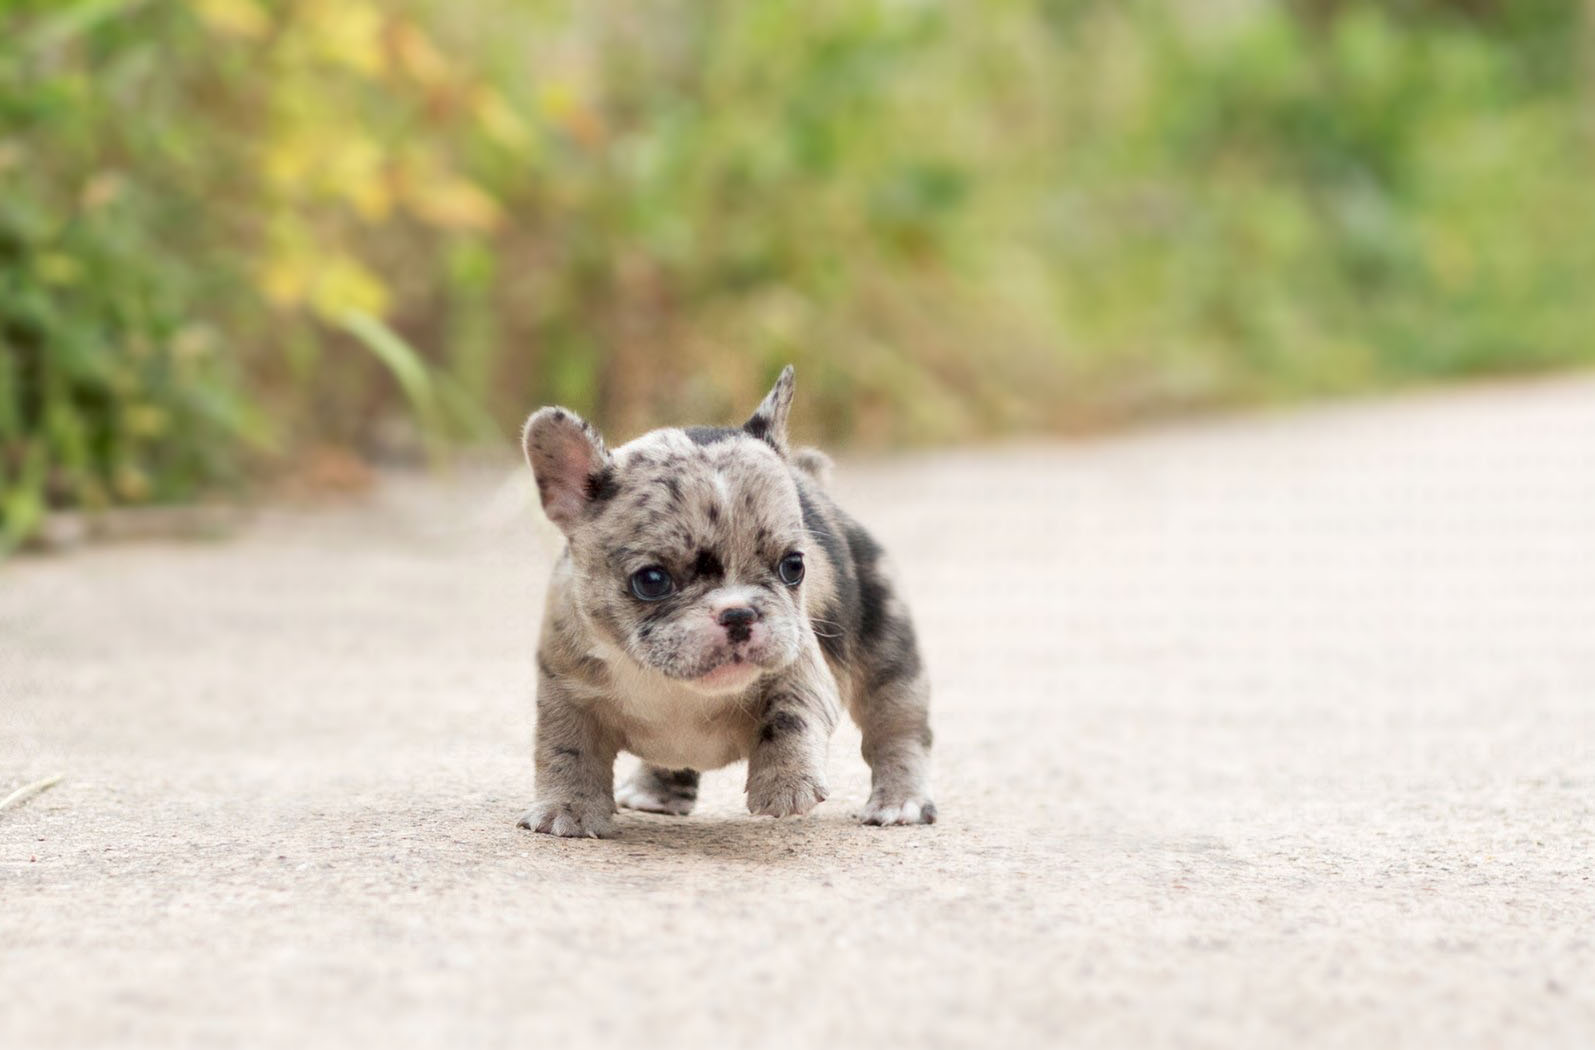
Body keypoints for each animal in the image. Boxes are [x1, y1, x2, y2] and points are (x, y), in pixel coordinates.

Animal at [516, 365, 931, 836]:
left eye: (794, 566)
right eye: (652, 581)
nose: (738, 613)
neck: (671, 686)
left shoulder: (802, 666)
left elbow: (789, 713)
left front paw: (786, 784)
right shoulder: (566, 690)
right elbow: (567, 750)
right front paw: (566, 809)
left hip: (889, 649)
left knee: (897, 730)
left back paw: (899, 801)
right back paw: (655, 792)